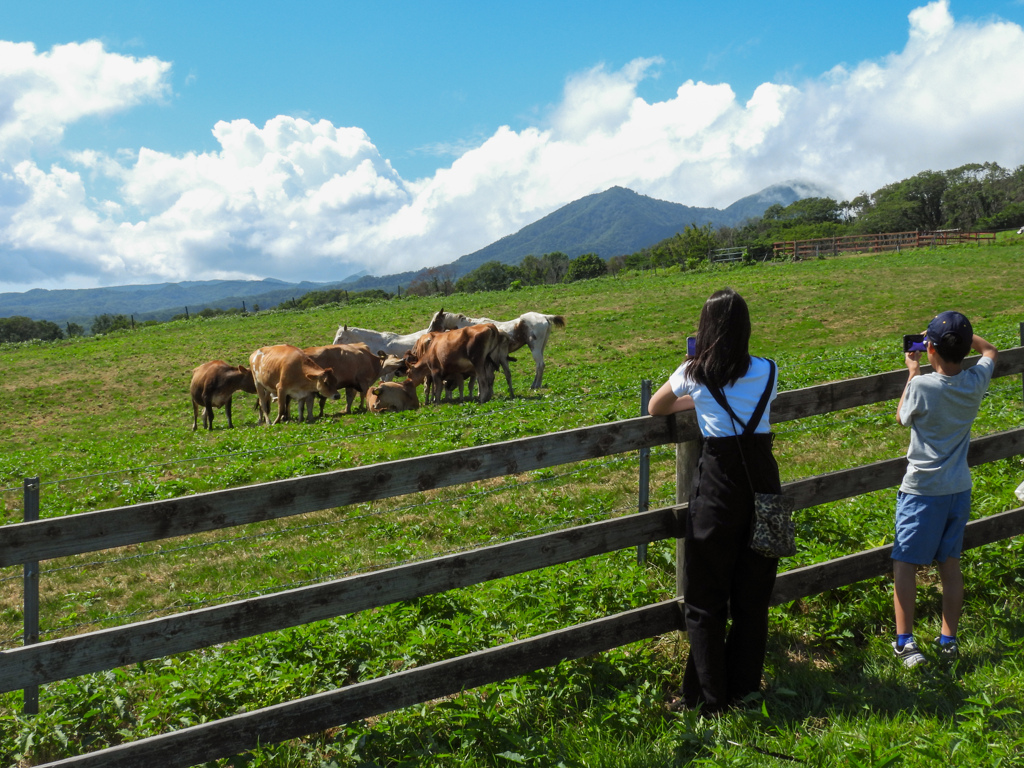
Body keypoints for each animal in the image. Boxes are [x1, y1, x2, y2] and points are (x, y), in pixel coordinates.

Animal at [425, 309, 565, 387]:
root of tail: (544, 316)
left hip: (534, 347)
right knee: (540, 365)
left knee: (540, 365)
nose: (429, 333)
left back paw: (535, 385)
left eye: (435, 321)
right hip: (540, 347)